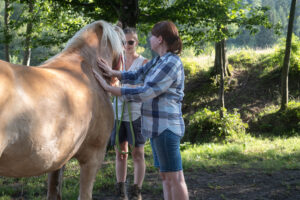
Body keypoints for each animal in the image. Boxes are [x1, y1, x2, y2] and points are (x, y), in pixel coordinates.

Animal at [0, 20, 124, 200]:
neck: (87, 68)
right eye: (124, 45)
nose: (116, 81)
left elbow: (54, 191)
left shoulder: (58, 158)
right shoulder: (93, 157)